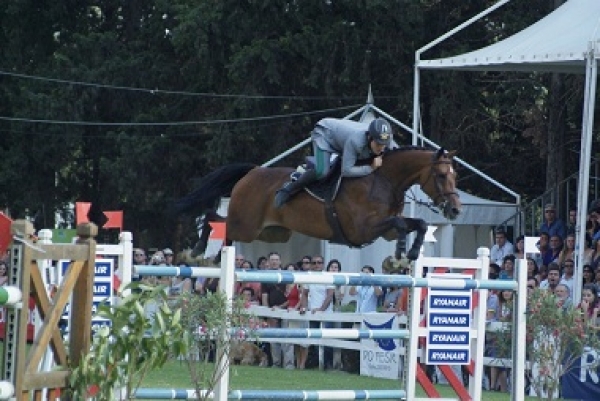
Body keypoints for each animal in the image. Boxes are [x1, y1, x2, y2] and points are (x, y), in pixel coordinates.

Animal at [171, 147, 462, 260]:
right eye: (441, 175)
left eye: (455, 176)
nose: (455, 209)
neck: (384, 180)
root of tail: (252, 172)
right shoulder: (363, 230)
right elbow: (401, 223)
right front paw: (403, 251)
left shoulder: (384, 231)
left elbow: (417, 223)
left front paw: (411, 252)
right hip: (247, 225)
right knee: (216, 219)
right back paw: (197, 249)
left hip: (272, 233)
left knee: (222, 225)